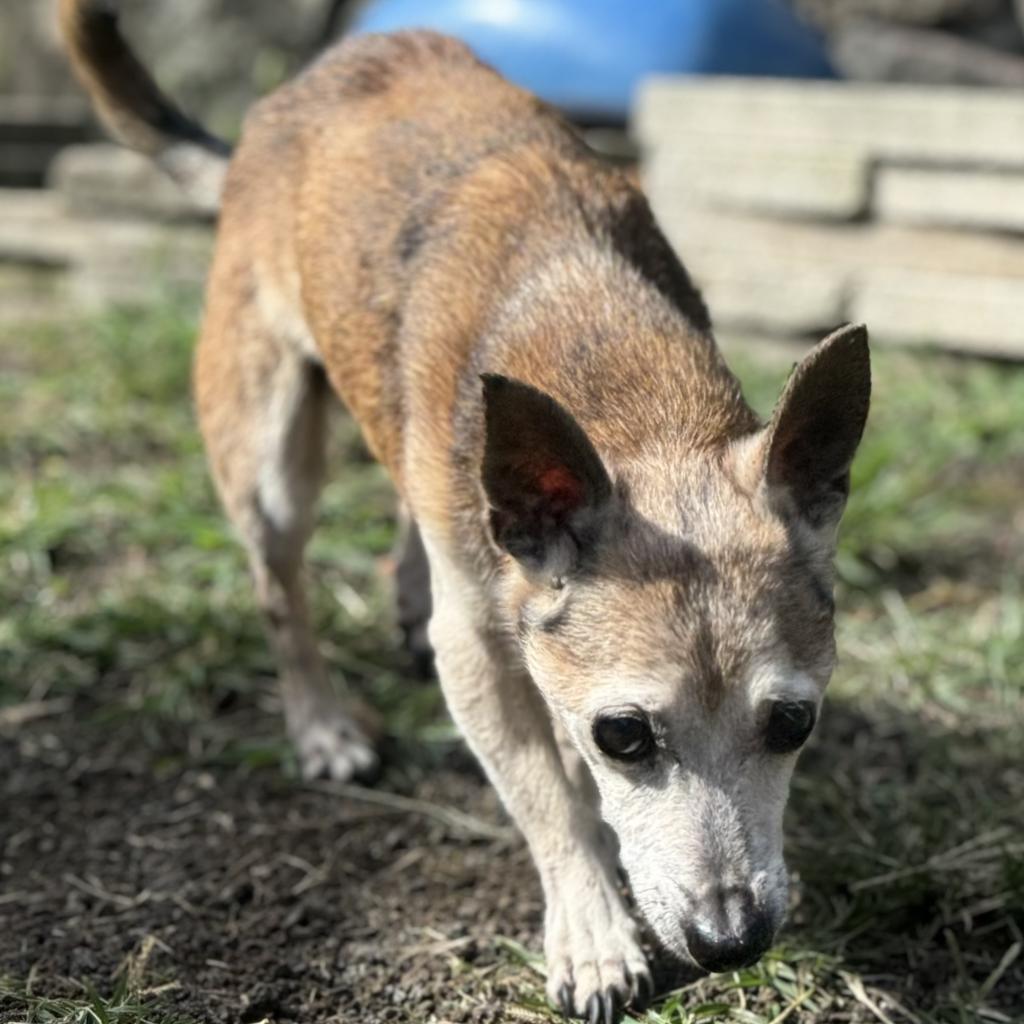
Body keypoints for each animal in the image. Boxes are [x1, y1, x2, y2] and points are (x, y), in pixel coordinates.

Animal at [59, 4, 868, 1019]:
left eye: (794, 724)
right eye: (624, 736)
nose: (732, 941)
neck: (619, 380)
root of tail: (278, 106)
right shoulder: (481, 659)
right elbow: (546, 795)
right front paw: (593, 930)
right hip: (269, 453)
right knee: (281, 589)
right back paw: (323, 726)